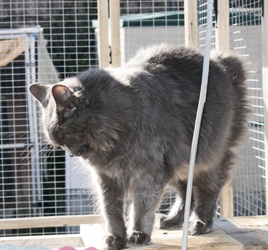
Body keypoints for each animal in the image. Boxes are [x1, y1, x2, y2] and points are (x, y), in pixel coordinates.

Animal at [28, 45, 247, 250]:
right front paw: (115, 238)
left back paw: (199, 224)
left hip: (205, 159)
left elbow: (141, 209)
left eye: (66, 138)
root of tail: (221, 63)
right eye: (60, 144)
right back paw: (172, 221)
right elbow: (111, 211)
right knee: (187, 193)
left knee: (207, 192)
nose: (70, 154)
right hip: (177, 167)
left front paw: (139, 235)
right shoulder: (107, 178)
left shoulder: (148, 175)